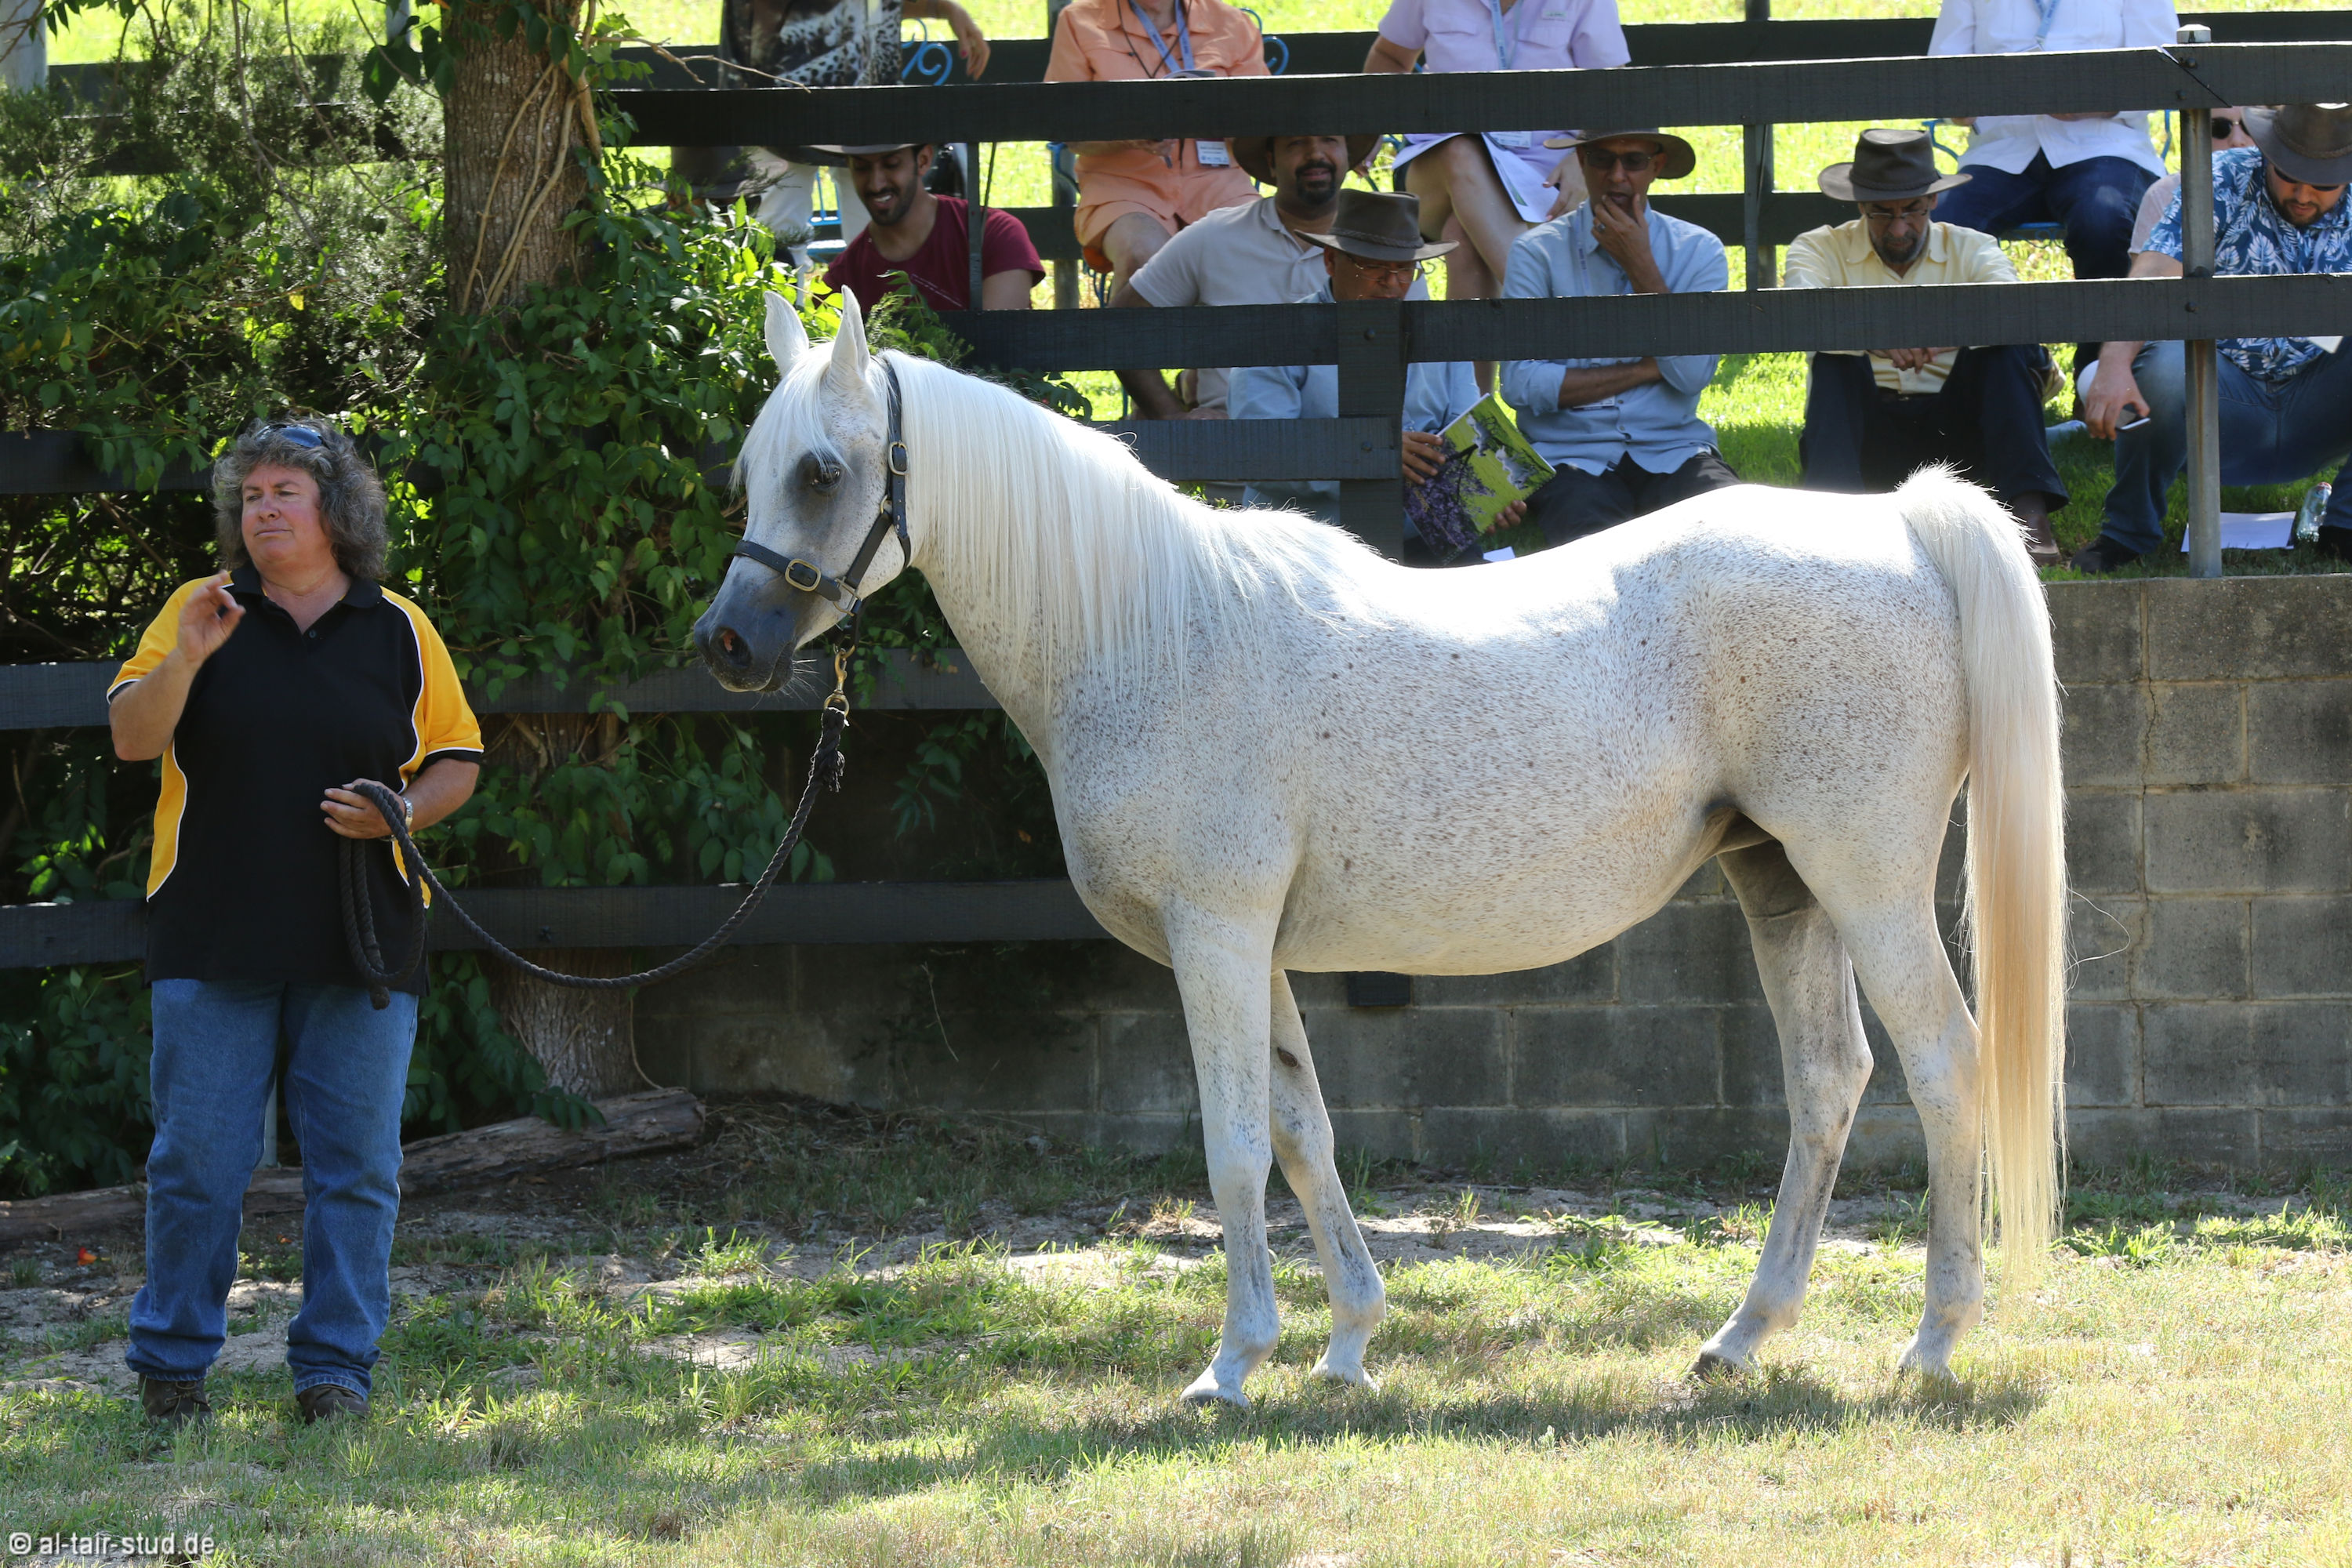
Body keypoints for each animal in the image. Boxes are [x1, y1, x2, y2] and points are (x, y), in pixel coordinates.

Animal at [694, 290, 2066, 1404]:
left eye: (823, 471)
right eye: (749, 473)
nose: (728, 646)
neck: (1151, 634)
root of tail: (1899, 529)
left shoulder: (1215, 936)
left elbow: (1235, 1150)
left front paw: (1230, 1365)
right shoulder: (1259, 951)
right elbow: (1306, 1136)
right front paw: (1346, 1345)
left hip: (1866, 882)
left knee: (1944, 1066)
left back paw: (1934, 1342)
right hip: (1780, 883)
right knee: (1828, 1082)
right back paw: (1739, 1341)